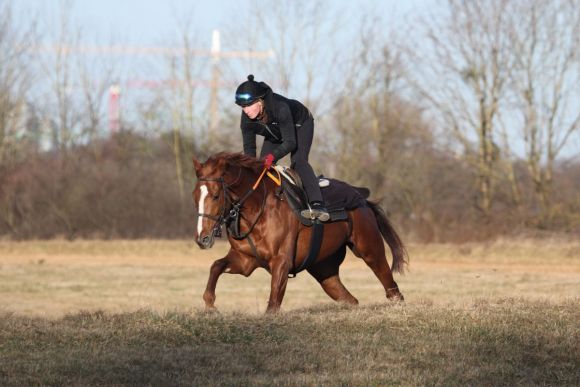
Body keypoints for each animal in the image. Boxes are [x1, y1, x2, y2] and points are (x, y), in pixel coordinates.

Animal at [193, 153, 406, 314]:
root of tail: (362, 199)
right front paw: (210, 304)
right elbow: (216, 266)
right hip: (324, 269)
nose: (202, 238)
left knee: (391, 287)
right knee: (349, 299)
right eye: (195, 197)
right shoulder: (245, 260)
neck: (258, 208)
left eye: (215, 195)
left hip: (370, 250)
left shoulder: (281, 261)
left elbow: (273, 303)